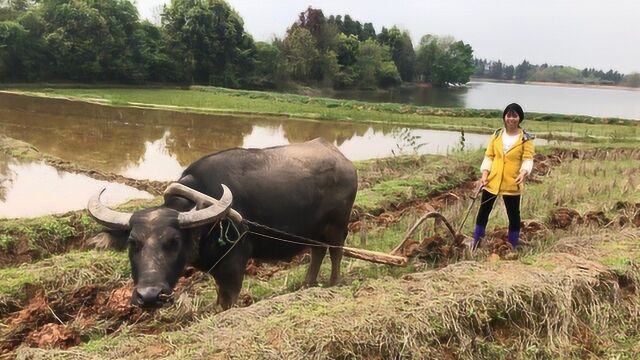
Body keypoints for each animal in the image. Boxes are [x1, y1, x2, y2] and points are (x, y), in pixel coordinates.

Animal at [87, 138, 358, 310]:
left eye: (174, 242)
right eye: (133, 243)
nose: (150, 296)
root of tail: (345, 162)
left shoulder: (233, 264)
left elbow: (227, 301)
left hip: (338, 227)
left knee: (336, 252)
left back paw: (333, 283)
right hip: (314, 231)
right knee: (317, 252)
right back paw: (308, 285)